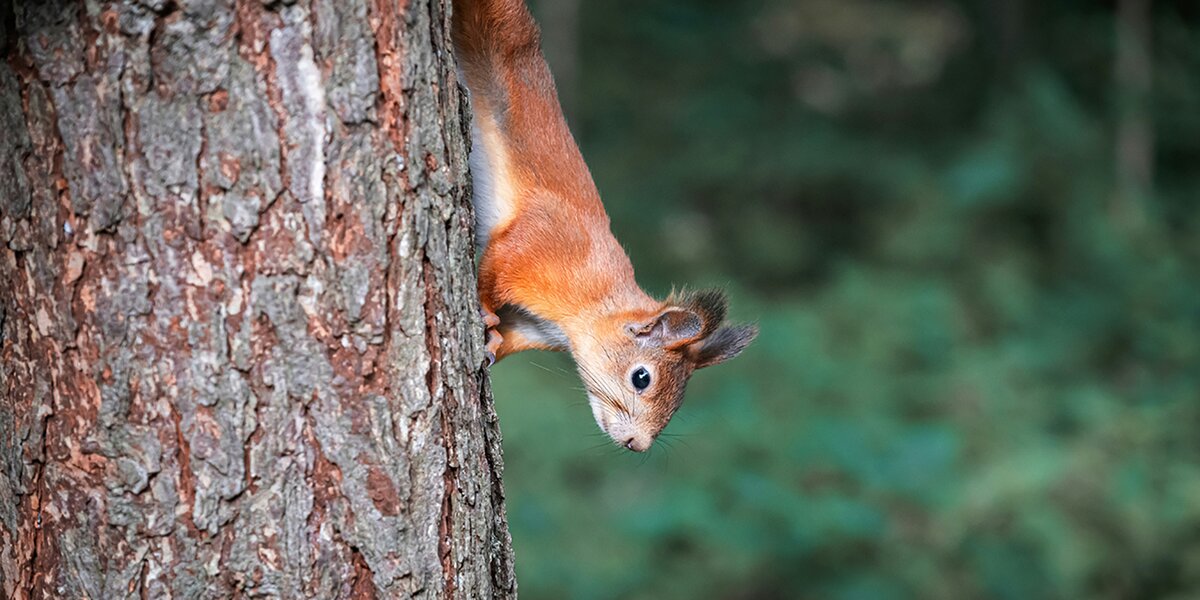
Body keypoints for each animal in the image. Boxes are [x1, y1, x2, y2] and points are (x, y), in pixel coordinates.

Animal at [451, 0, 748, 451]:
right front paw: (484, 313)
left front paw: (494, 340)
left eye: (680, 400)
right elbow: (495, 267)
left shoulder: (533, 326)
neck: (594, 299)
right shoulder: (535, 249)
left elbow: (508, 334)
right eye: (641, 378)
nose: (638, 445)